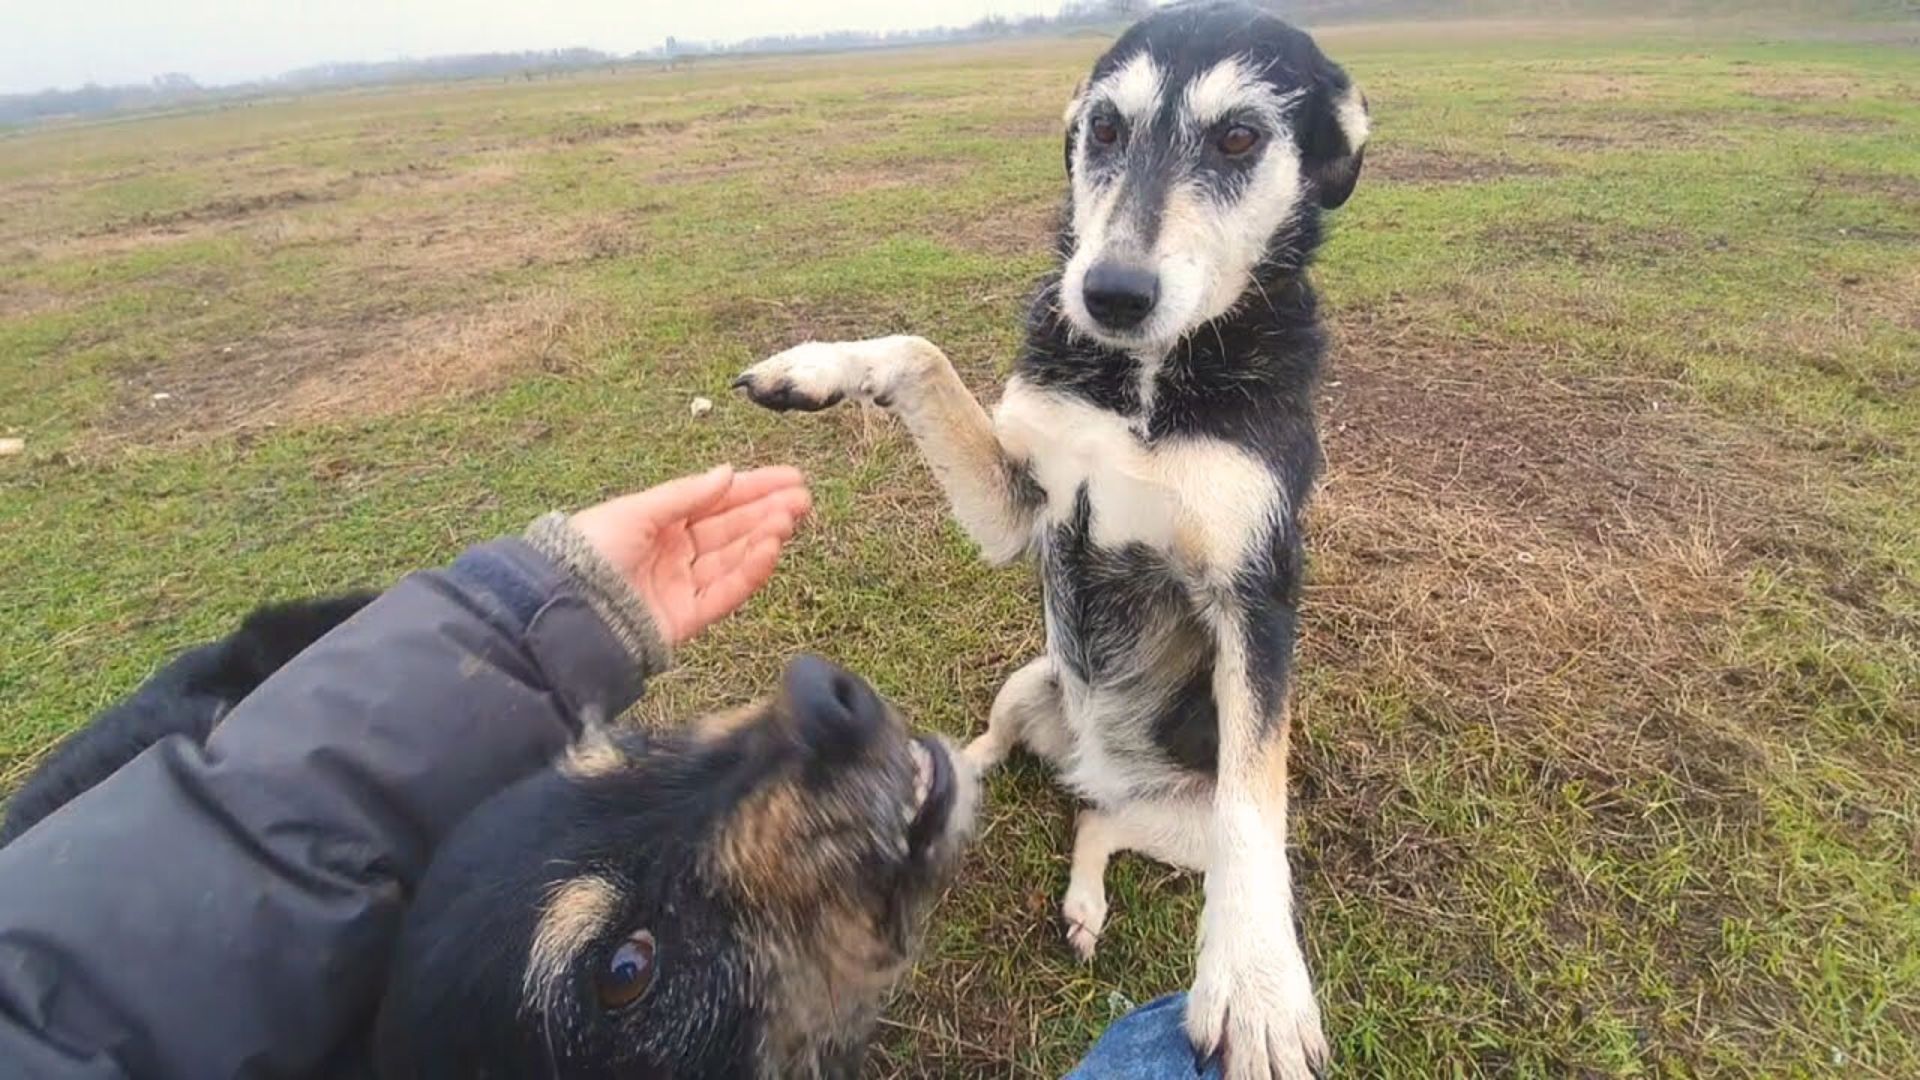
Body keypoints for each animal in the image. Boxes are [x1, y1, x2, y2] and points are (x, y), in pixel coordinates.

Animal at [725, 4, 1374, 1068]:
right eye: (1104, 128)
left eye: (1240, 138)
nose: (1108, 293)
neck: (1146, 376)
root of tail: (1089, 761)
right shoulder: (1023, 506)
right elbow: (923, 353)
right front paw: (816, 366)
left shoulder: (1256, 589)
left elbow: (1257, 798)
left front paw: (1260, 989)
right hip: (1030, 680)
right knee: (1004, 754)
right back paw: (931, 783)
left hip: (1179, 820)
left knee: (1103, 824)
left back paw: (1086, 898)